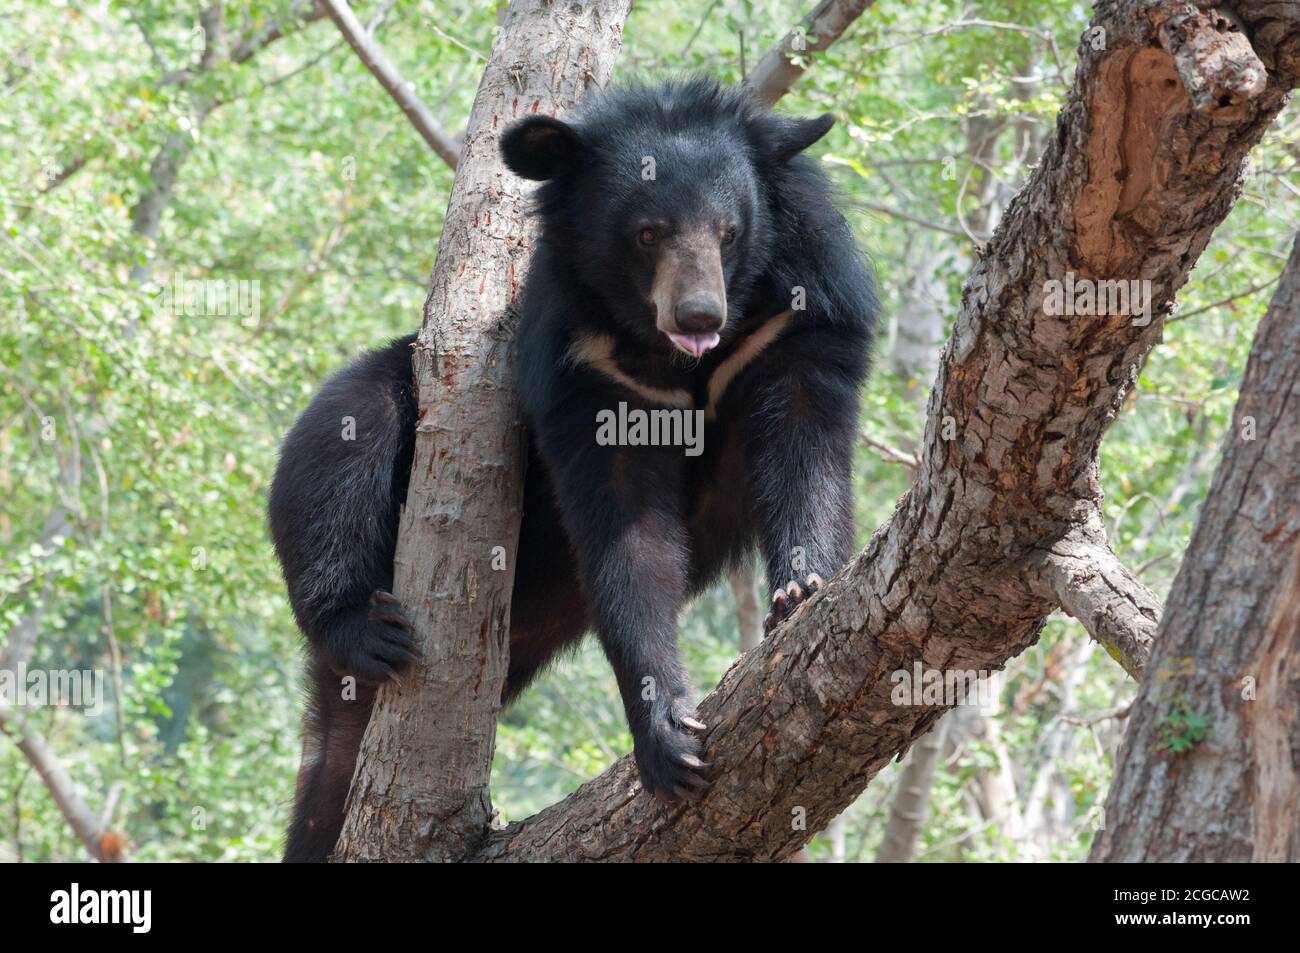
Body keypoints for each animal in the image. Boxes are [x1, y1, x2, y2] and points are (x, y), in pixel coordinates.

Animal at [274, 78, 883, 858]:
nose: (698, 314)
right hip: (369, 438)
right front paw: (668, 737)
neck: (662, 354)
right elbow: (626, 533)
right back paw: (368, 631)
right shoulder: (583, 365)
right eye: (648, 232)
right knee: (345, 440)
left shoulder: (798, 315)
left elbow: (806, 449)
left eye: (728, 231)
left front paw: (801, 592)